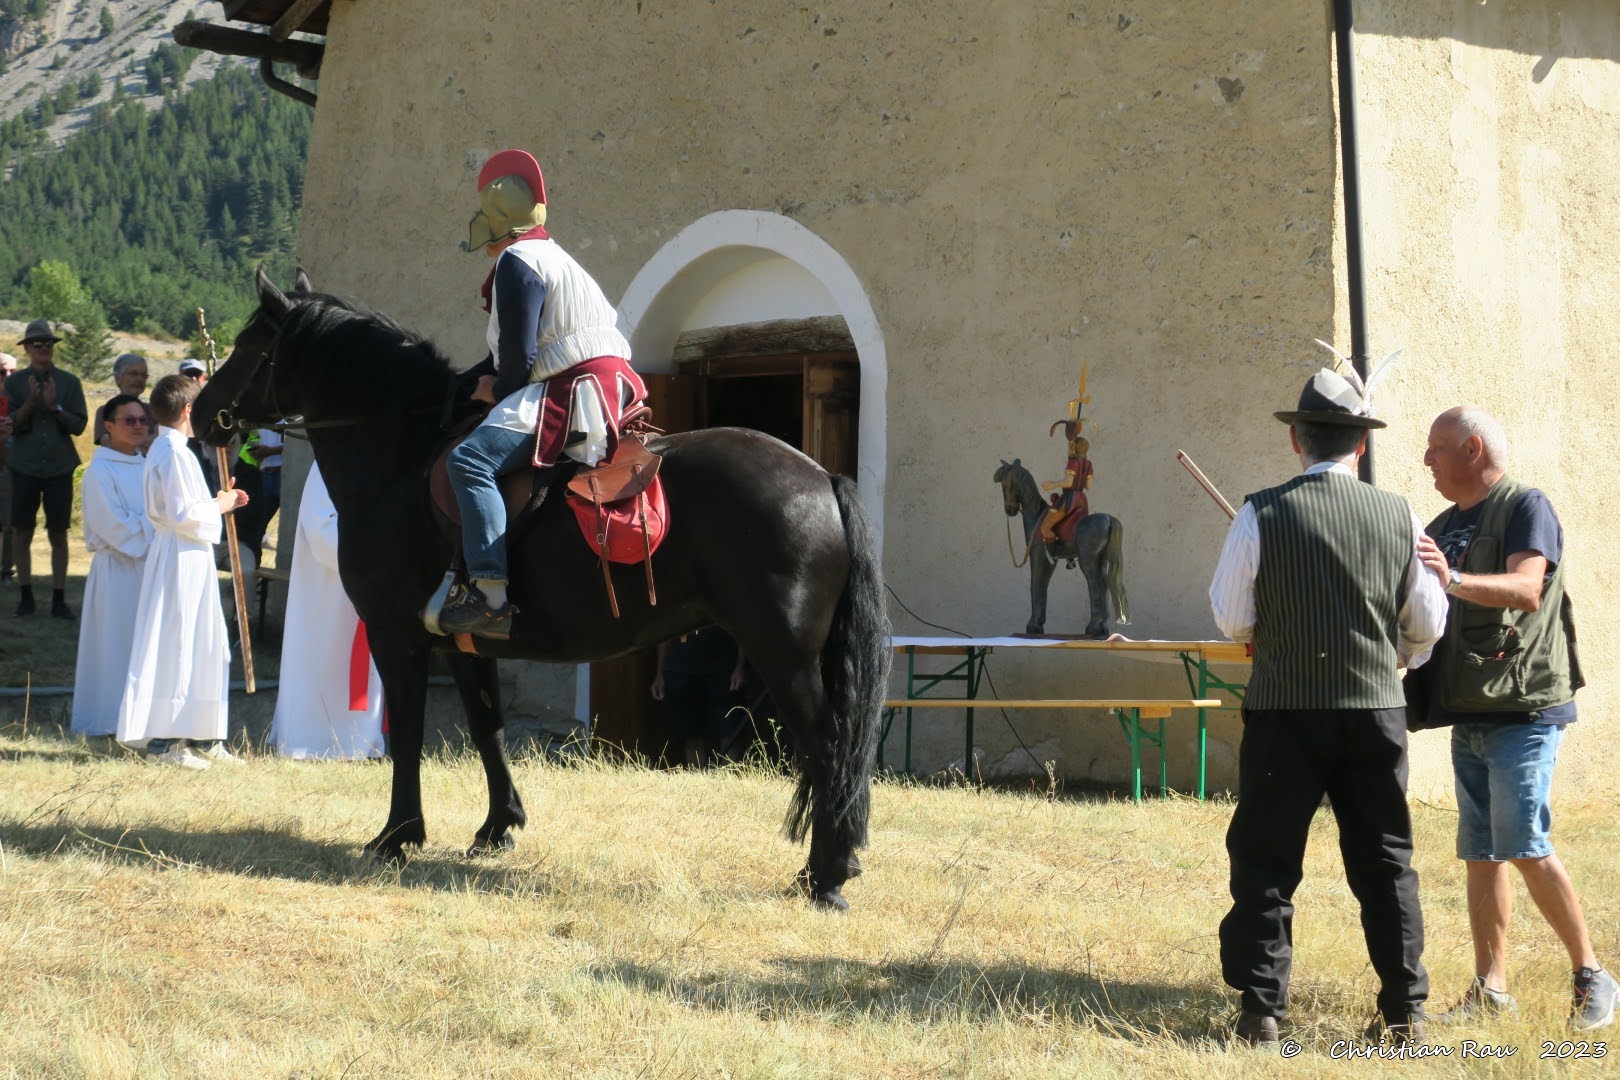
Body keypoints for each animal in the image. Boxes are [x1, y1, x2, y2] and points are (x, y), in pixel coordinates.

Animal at [199, 270, 900, 913]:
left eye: (249, 342)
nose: (203, 412)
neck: (402, 456)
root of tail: (821, 479)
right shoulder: (463, 644)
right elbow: (487, 728)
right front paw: (497, 826)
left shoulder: (397, 637)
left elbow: (408, 739)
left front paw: (397, 837)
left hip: (783, 656)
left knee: (827, 748)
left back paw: (825, 878)